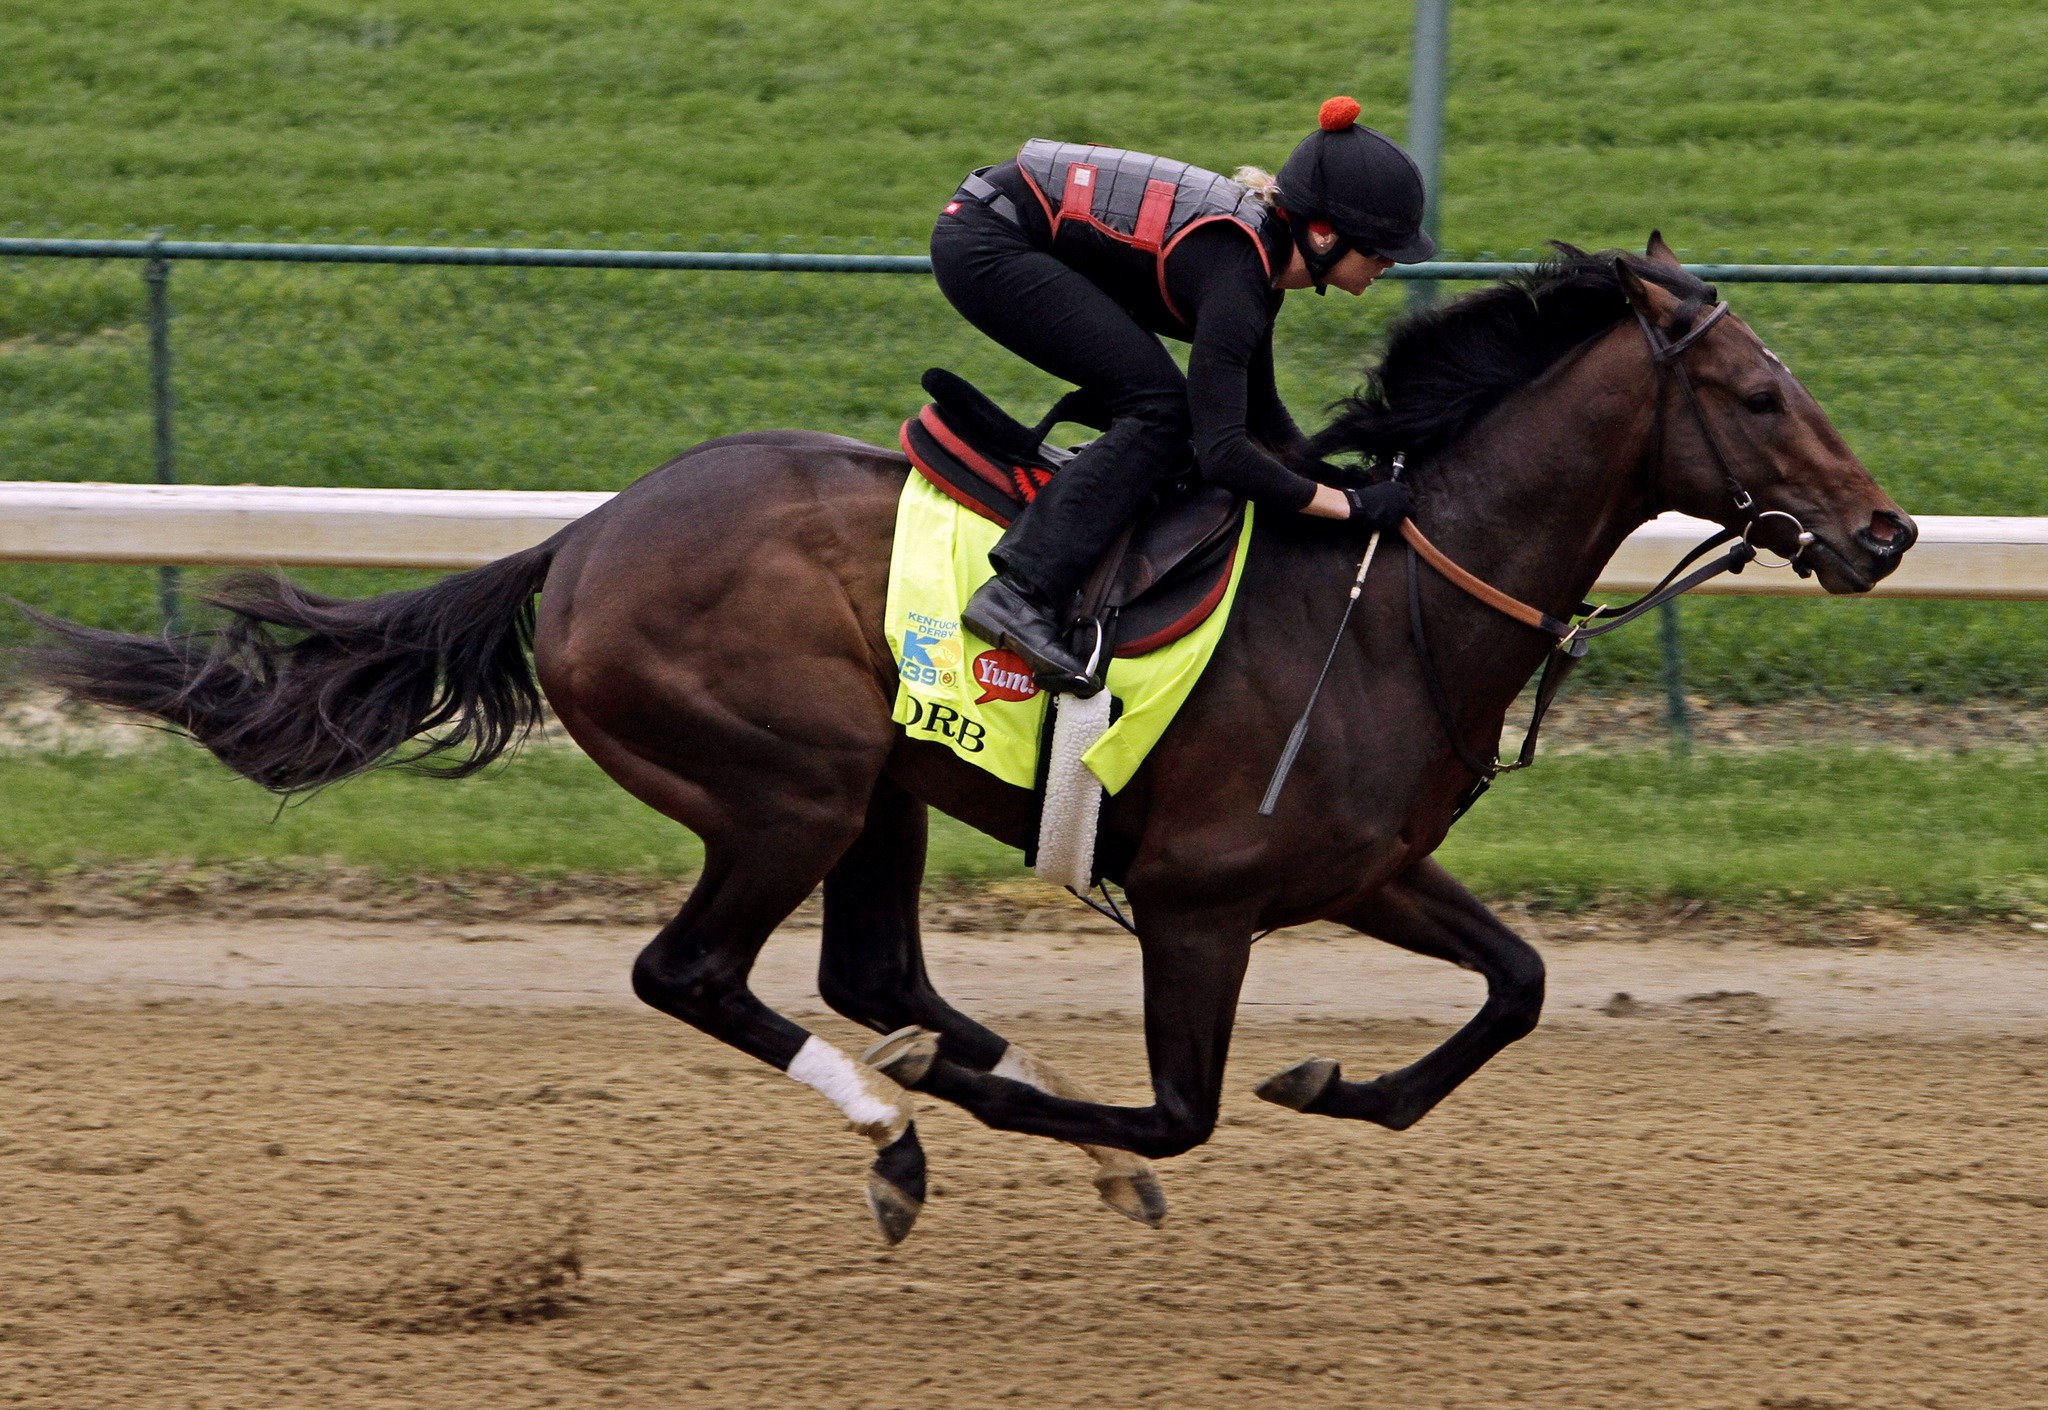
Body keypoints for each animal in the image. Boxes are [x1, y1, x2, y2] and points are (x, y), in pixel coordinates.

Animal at [32, 239, 1916, 1246]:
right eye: (1759, 394)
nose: (1886, 533)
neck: (1387, 597)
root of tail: (579, 540)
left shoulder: (1365, 868)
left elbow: (1515, 987)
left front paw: (1339, 1082)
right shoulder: (1202, 902)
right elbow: (1180, 1113)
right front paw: (1063, 1121)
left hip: (878, 790)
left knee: (870, 972)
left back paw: (943, 1077)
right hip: (785, 785)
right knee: (697, 974)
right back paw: (900, 1122)